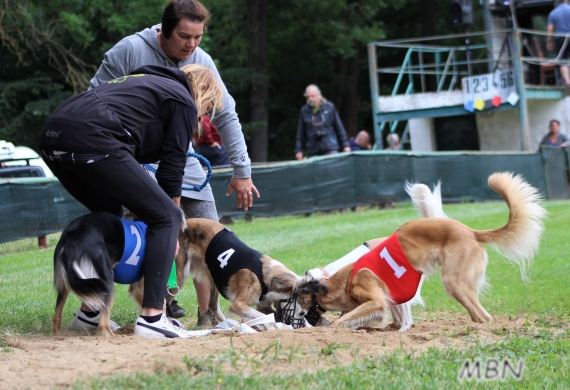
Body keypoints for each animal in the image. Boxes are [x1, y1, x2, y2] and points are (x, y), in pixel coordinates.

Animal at [290, 174, 544, 330]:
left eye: (302, 305)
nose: (301, 323)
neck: (343, 276)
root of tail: (471, 231)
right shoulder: (392, 295)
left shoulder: (381, 297)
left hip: (453, 282)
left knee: (484, 316)